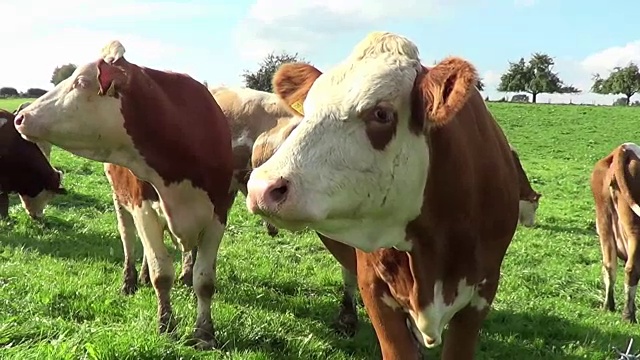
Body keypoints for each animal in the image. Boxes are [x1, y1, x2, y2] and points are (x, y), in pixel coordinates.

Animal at [13, 40, 235, 348]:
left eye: (81, 82)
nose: (20, 117)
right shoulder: (143, 208)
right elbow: (161, 272)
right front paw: (166, 325)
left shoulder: (219, 213)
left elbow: (204, 281)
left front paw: (204, 333)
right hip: (121, 202)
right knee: (129, 240)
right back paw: (130, 280)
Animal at [592, 142, 640, 324]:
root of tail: (624, 149)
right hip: (634, 226)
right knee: (632, 269)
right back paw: (628, 315)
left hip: (603, 221)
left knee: (609, 265)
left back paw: (608, 306)